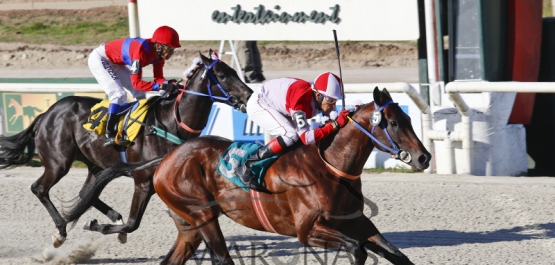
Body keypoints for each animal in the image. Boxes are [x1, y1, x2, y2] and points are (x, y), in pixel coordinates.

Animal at [0, 50, 254, 248]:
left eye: (234, 71)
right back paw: (61, 231)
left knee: (86, 193)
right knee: (40, 188)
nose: (250, 94)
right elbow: (133, 224)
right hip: (58, 162)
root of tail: (46, 113)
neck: (169, 123)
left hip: (94, 162)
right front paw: (102, 227)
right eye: (222, 75)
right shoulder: (143, 181)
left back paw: (111, 215)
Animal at [88, 86, 434, 262]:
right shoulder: (307, 230)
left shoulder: (357, 222)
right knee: (221, 258)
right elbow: (355, 249)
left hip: (188, 226)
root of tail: (167, 157)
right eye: (393, 122)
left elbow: (396, 254)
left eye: (408, 117)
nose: (424, 157)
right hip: (202, 215)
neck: (331, 167)